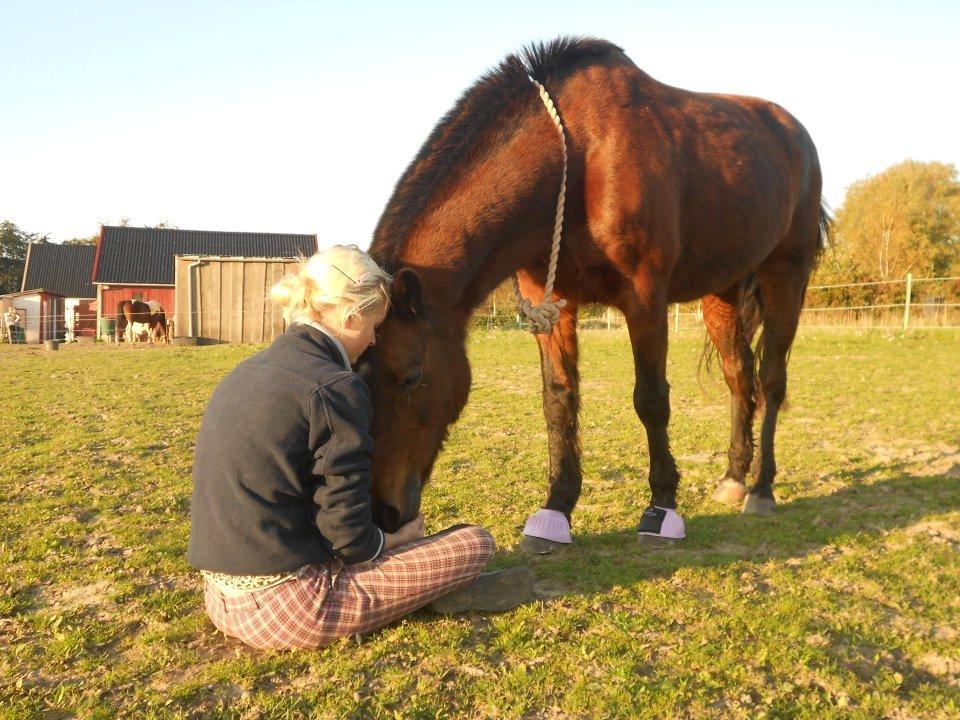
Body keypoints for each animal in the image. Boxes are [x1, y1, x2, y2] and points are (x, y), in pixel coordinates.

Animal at [356, 35, 828, 552]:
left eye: (411, 377)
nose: (383, 513)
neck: (580, 157)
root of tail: (796, 136)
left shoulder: (645, 298)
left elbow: (651, 400)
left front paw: (661, 508)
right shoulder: (550, 303)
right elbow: (559, 401)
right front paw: (555, 509)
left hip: (786, 274)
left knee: (771, 379)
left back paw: (761, 489)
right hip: (721, 290)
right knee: (739, 376)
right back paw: (733, 478)